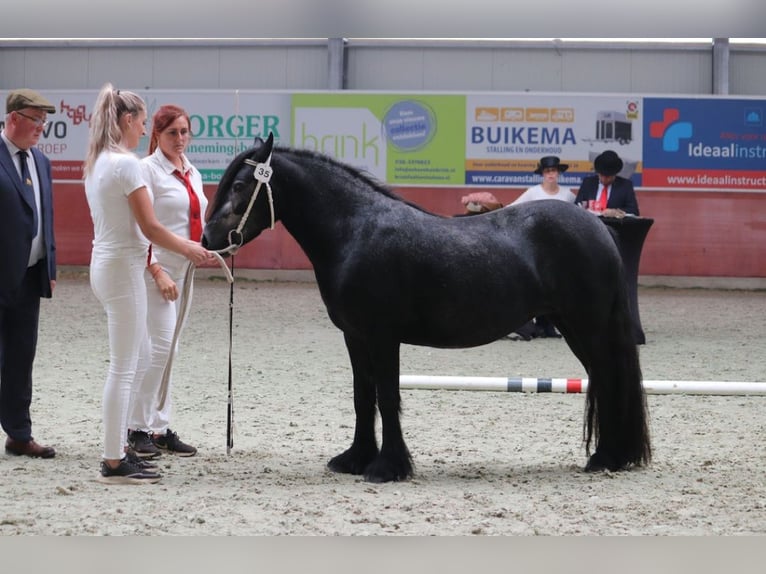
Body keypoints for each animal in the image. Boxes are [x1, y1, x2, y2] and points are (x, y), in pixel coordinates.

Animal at [201, 134, 652, 482]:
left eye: (240, 185)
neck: (356, 231)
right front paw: (355, 459)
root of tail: (599, 227)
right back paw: (612, 456)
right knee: (603, 378)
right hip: (573, 326)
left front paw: (388, 467)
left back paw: (606, 458)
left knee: (609, 378)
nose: (208, 239)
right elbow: (362, 396)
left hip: (587, 326)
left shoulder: (382, 337)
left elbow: (387, 396)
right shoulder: (355, 337)